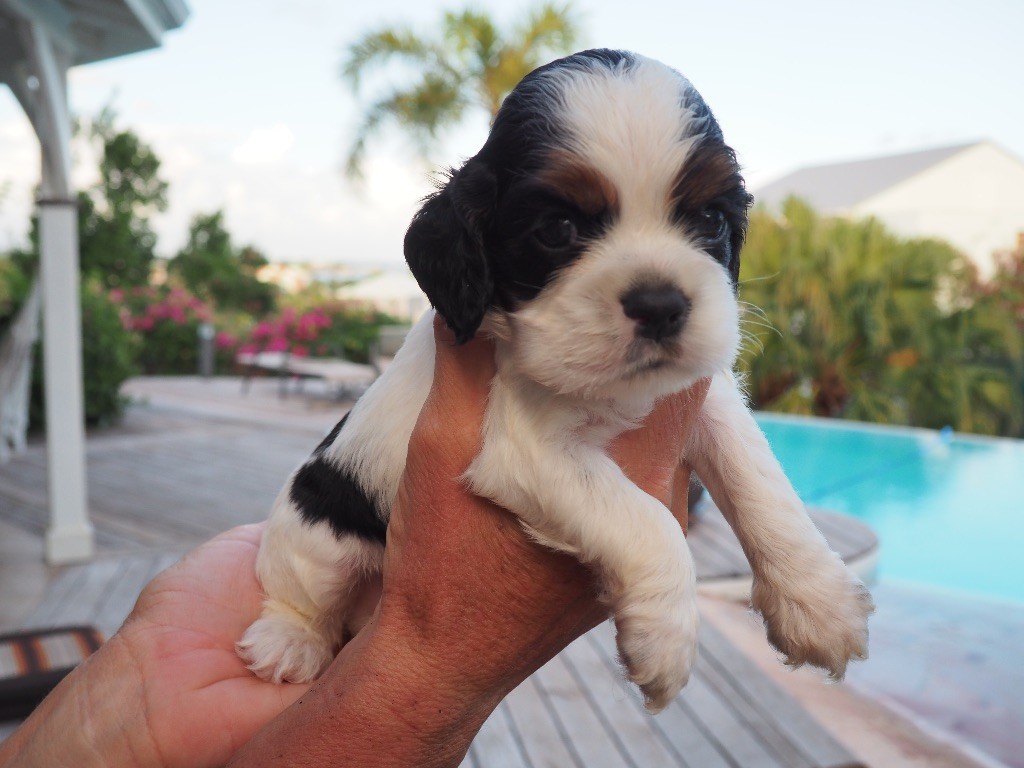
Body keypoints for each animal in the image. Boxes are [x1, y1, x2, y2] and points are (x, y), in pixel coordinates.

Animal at [237, 48, 872, 712]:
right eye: (558, 230)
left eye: (709, 219)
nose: (660, 304)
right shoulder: (527, 450)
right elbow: (647, 521)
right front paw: (666, 638)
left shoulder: (700, 394)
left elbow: (758, 475)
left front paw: (817, 602)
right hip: (320, 530)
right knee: (298, 592)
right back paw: (288, 643)